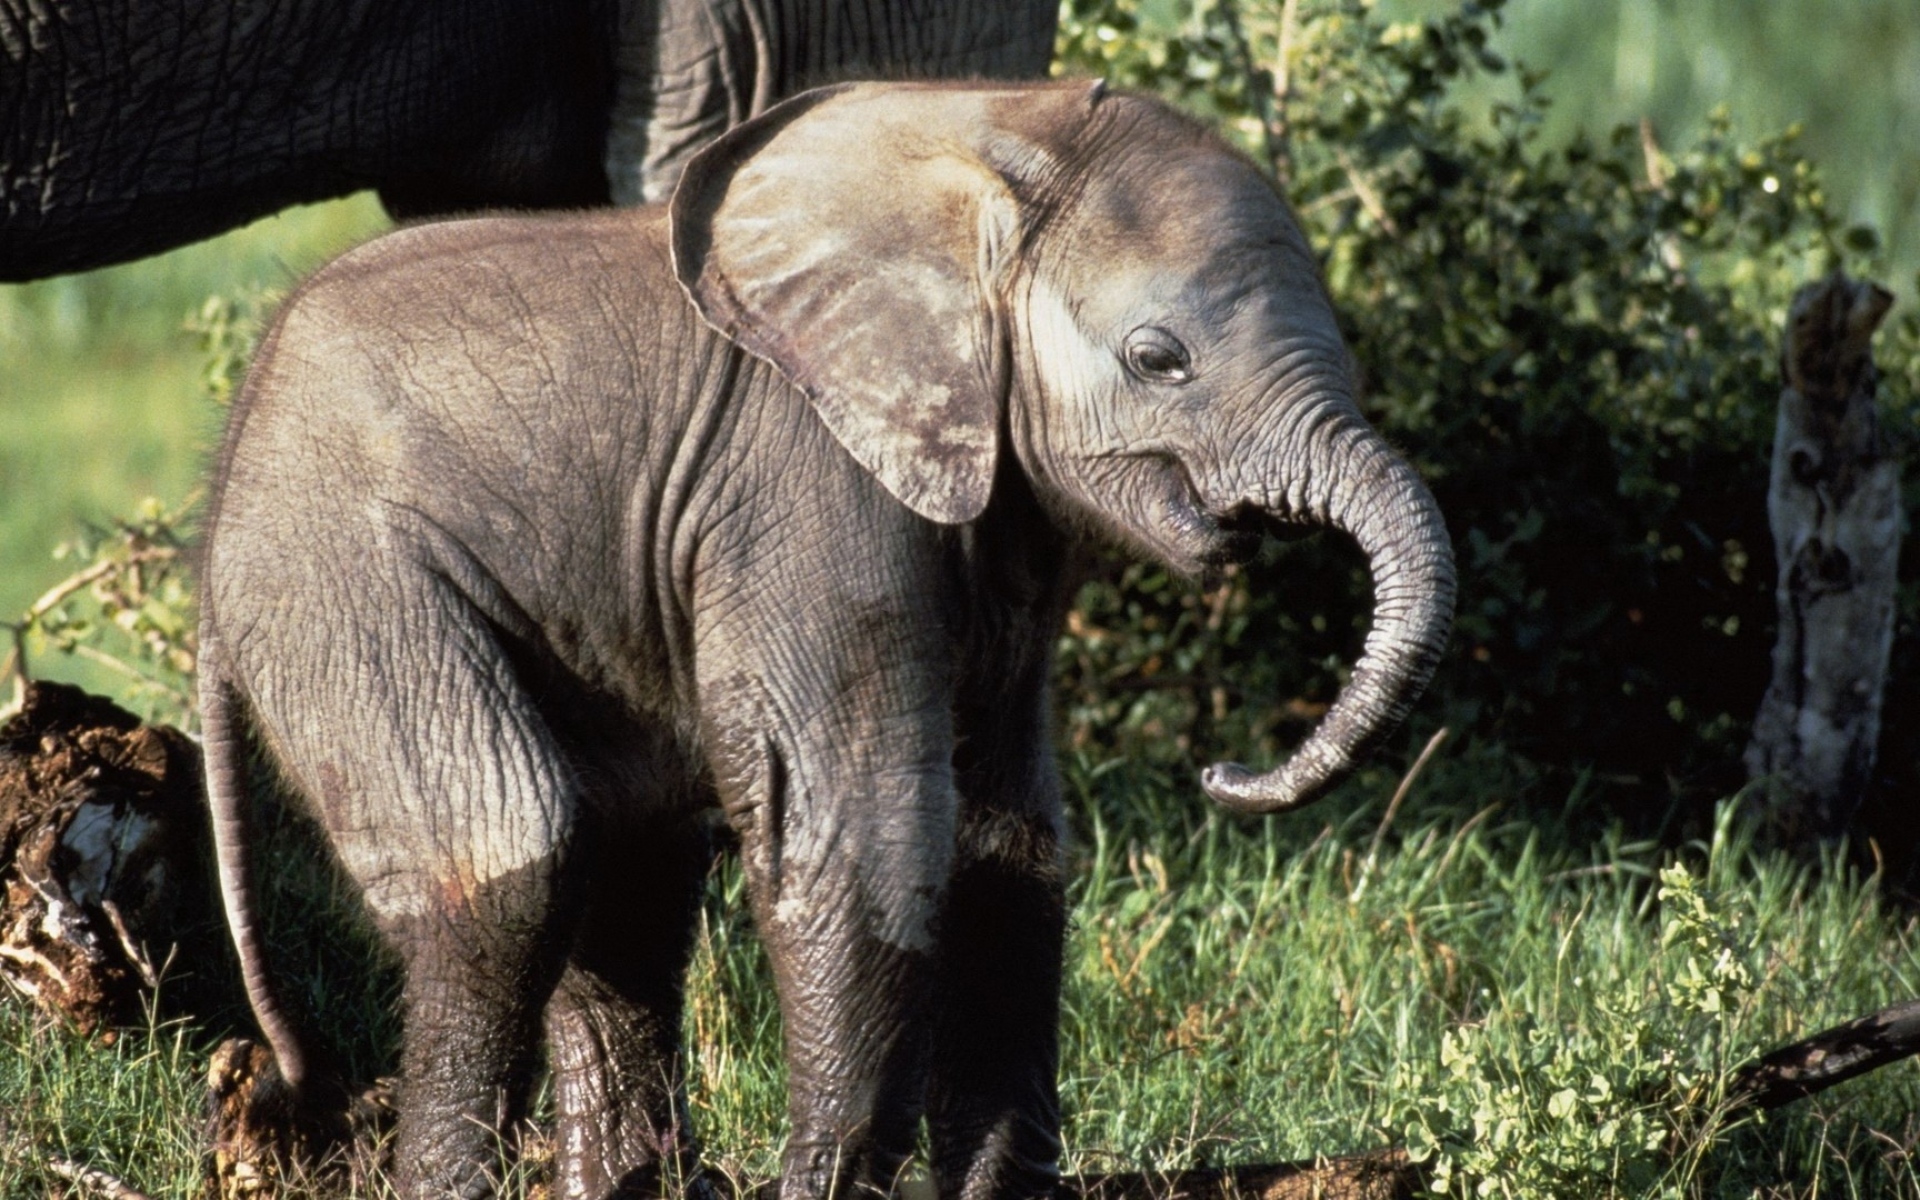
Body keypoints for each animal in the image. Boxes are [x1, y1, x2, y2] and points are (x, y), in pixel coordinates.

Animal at [196, 79, 1457, 1200]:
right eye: (1159, 359)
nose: (1223, 773)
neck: (989, 140)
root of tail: (224, 484)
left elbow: (1009, 847)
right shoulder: (809, 490)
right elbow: (866, 841)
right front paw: (826, 1187)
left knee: (629, 878)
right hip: (344, 578)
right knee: (517, 851)